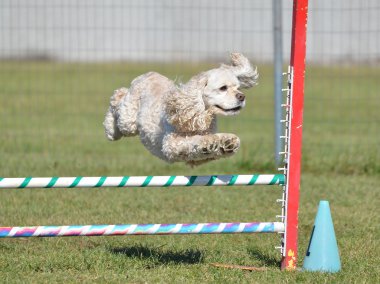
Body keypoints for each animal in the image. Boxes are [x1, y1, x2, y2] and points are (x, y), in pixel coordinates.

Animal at [104, 52, 258, 166]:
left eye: (238, 87)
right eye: (223, 88)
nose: (242, 96)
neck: (198, 114)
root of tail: (148, 74)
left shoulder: (196, 159)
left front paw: (227, 143)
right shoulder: (172, 143)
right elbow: (195, 141)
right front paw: (208, 143)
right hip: (128, 120)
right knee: (117, 97)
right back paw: (111, 131)